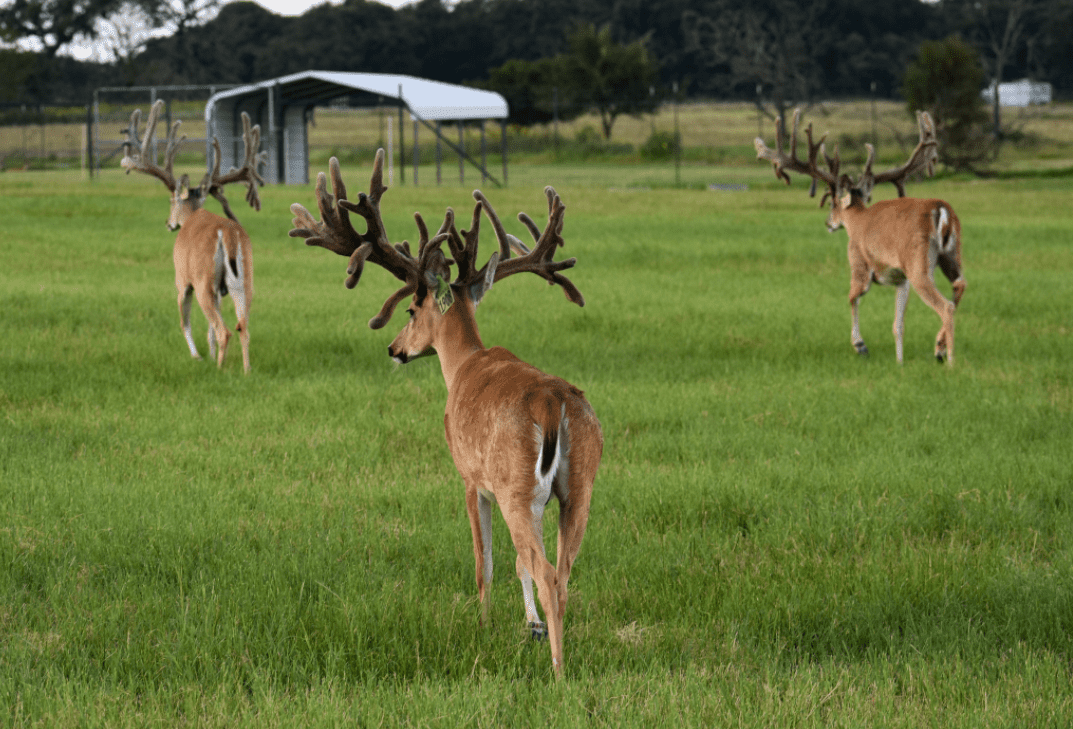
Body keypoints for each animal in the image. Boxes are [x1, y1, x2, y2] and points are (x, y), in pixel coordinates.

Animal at [121, 99, 267, 373]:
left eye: (171, 201)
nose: (168, 223)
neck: (192, 217)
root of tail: (228, 234)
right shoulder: (220, 290)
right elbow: (209, 329)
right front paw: (208, 354)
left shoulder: (182, 278)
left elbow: (185, 322)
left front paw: (198, 357)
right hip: (245, 281)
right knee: (243, 327)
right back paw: (246, 371)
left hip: (202, 280)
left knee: (224, 330)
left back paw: (219, 370)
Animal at [289, 150, 603, 678]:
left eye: (411, 310)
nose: (394, 348)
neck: (462, 366)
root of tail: (554, 403)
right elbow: (515, 562)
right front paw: (531, 627)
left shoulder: (470, 477)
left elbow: (486, 563)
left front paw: (484, 625)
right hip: (578, 485)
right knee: (562, 570)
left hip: (515, 483)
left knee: (546, 570)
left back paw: (560, 672)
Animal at [755, 109, 966, 365]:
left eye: (832, 202)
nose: (828, 223)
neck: (858, 220)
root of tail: (941, 209)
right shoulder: (901, 279)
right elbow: (898, 324)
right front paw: (899, 363)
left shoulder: (858, 261)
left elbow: (852, 297)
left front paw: (860, 345)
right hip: (950, 255)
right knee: (959, 286)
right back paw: (939, 346)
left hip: (918, 262)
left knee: (945, 306)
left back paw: (949, 359)